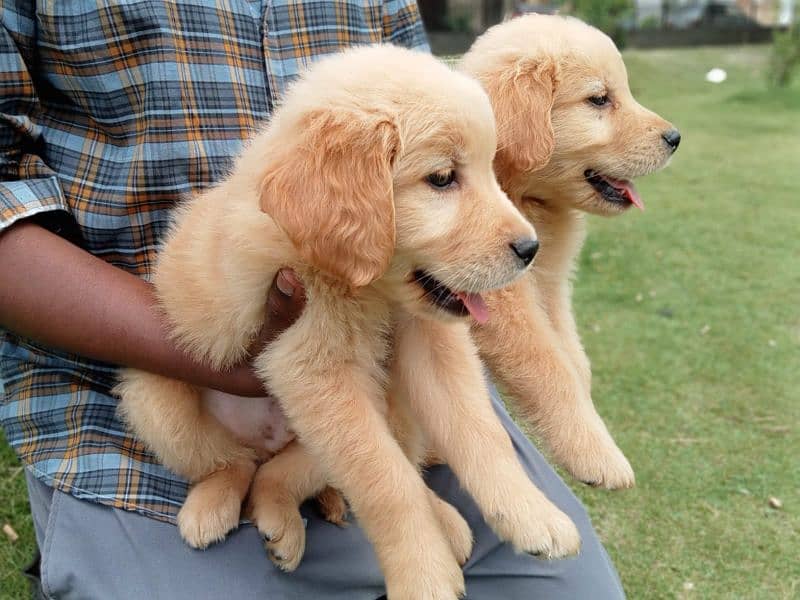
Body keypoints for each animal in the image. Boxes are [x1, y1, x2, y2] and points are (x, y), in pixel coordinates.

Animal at [114, 47, 576, 600]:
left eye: (490, 169)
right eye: (442, 179)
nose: (531, 249)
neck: (369, 290)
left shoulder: (425, 346)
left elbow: (478, 432)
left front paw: (532, 516)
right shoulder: (313, 369)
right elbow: (388, 484)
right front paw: (424, 577)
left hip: (350, 421)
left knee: (281, 475)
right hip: (157, 400)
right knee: (236, 463)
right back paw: (212, 507)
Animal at [460, 15, 680, 492]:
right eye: (599, 99)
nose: (676, 137)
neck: (520, 192)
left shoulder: (550, 285)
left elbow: (575, 362)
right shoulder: (500, 298)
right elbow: (551, 369)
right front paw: (598, 456)